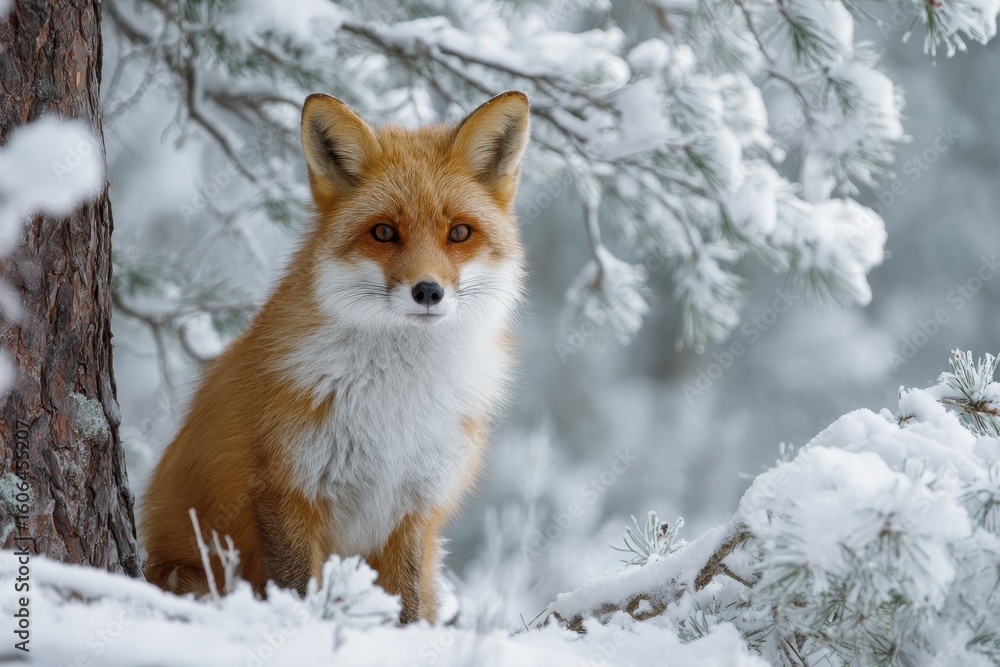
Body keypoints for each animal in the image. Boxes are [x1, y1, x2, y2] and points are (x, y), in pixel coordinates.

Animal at [140, 91, 530, 623]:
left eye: (459, 233)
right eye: (384, 232)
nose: (428, 291)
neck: (397, 399)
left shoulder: (413, 505)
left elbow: (406, 607)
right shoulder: (286, 490)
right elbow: (299, 592)